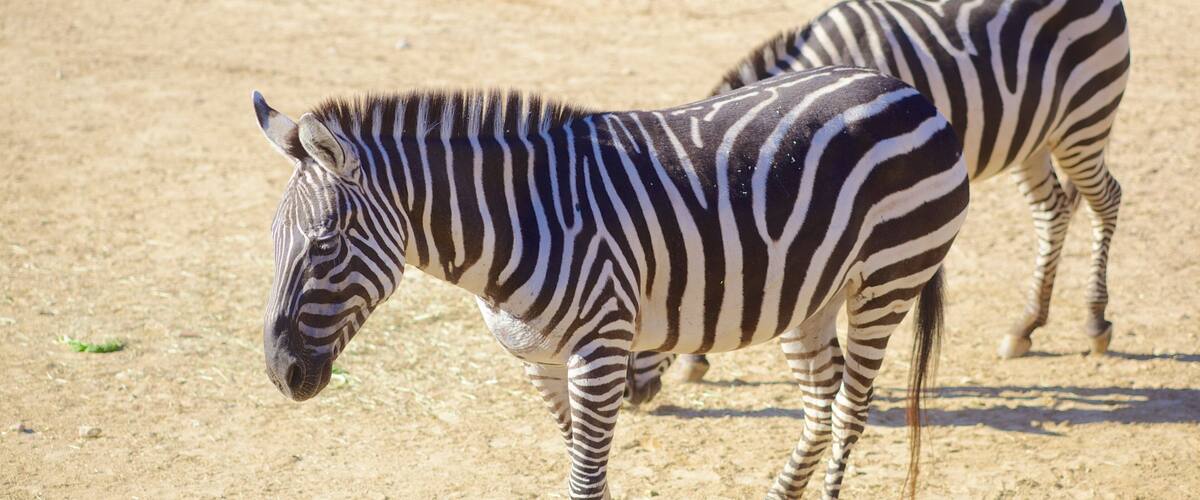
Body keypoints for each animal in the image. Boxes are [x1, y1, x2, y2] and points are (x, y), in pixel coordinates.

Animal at [253, 65, 970, 498]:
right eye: (272, 242)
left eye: (324, 244)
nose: (281, 374)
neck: (520, 220)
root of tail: (901, 88)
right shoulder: (538, 361)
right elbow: (580, 466)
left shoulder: (600, 349)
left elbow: (585, 478)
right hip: (809, 294)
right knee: (820, 405)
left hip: (887, 279)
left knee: (849, 410)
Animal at [656, 0, 1131, 384]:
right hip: (1033, 137)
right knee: (1053, 211)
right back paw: (1026, 325)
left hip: (1083, 119)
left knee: (1107, 199)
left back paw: (1095, 320)